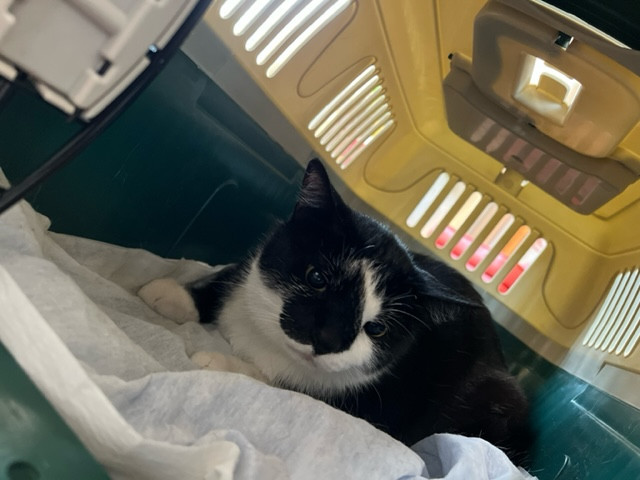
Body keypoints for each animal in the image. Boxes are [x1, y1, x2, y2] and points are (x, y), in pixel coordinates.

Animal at [139, 159, 532, 464]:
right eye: (317, 278)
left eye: (377, 329)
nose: (327, 340)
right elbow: (234, 274)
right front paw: (175, 294)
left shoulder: (374, 404)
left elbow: (287, 385)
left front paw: (222, 362)